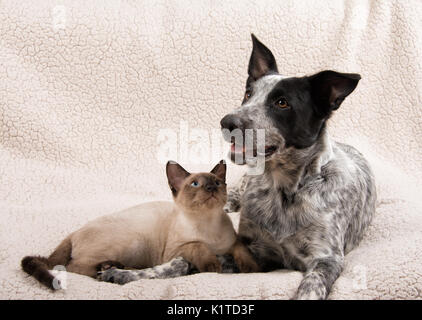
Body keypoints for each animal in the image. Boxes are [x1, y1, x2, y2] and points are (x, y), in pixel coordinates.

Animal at [21, 161, 258, 288]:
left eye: (217, 182)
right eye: (195, 184)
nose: (211, 188)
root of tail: (74, 233)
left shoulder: (234, 243)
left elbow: (240, 251)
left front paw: (248, 266)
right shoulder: (175, 251)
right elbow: (192, 252)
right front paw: (211, 264)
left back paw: (110, 267)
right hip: (132, 241)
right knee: (73, 267)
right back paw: (109, 269)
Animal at [96, 33, 376, 298]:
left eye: (282, 103)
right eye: (248, 94)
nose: (227, 122)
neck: (284, 190)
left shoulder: (326, 258)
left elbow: (311, 286)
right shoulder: (254, 251)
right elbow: (182, 261)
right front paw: (128, 273)